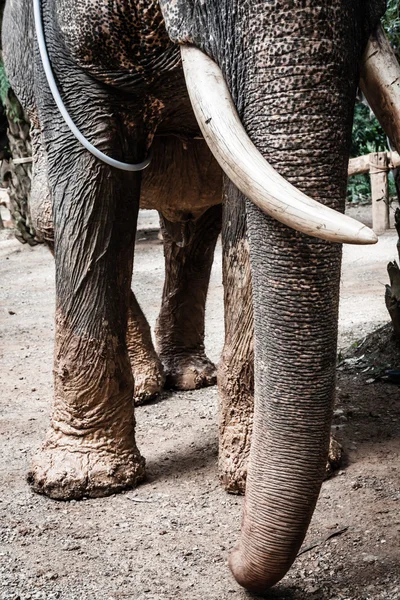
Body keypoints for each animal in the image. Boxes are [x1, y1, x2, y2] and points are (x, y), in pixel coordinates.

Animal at [3, 0, 400, 592]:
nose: (232, 565)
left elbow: (245, 192)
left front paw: (254, 472)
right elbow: (90, 179)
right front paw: (78, 482)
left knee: (193, 223)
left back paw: (190, 376)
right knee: (54, 217)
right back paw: (149, 386)